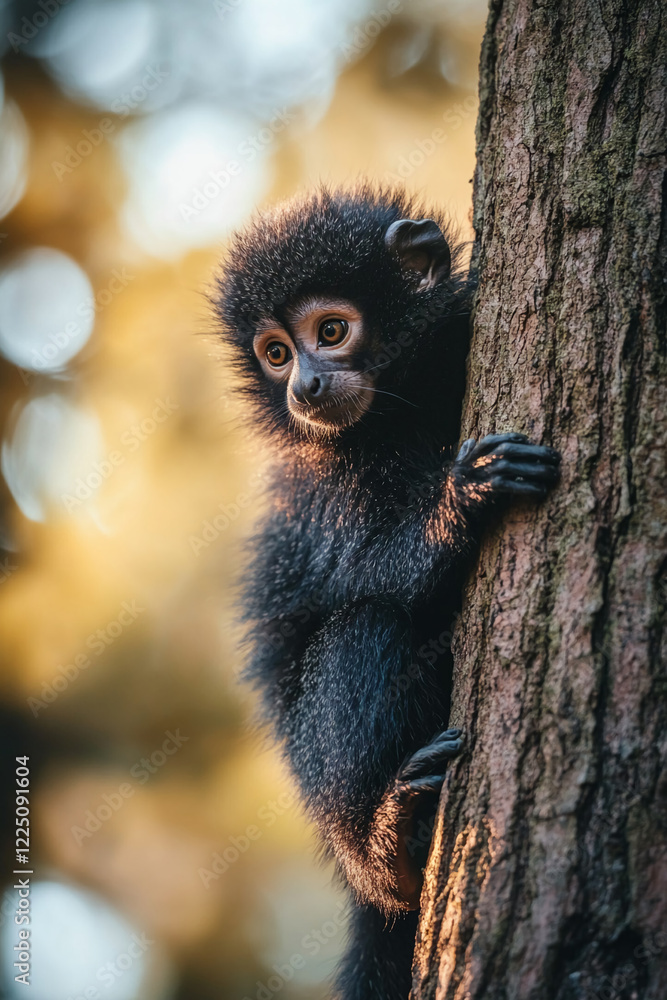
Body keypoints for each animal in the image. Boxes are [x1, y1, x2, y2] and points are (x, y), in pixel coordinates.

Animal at [215, 185, 560, 1000]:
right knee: (364, 625)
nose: (305, 385)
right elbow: (374, 576)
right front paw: (462, 498)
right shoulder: (331, 481)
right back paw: (389, 848)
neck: (406, 406)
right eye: (275, 354)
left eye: (331, 331)